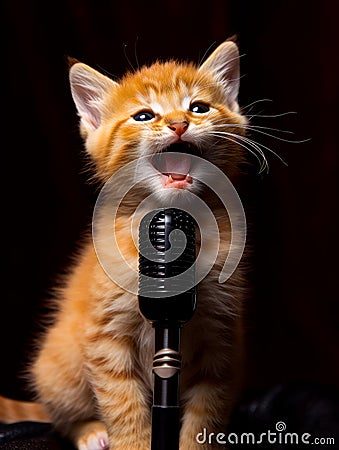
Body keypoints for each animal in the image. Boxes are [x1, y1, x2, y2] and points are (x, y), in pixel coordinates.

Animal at [0, 38, 250, 450]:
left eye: (198, 108)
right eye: (144, 116)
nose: (179, 123)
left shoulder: (222, 341)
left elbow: (205, 414)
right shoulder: (105, 338)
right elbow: (123, 404)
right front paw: (130, 440)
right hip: (60, 365)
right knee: (59, 417)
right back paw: (89, 431)